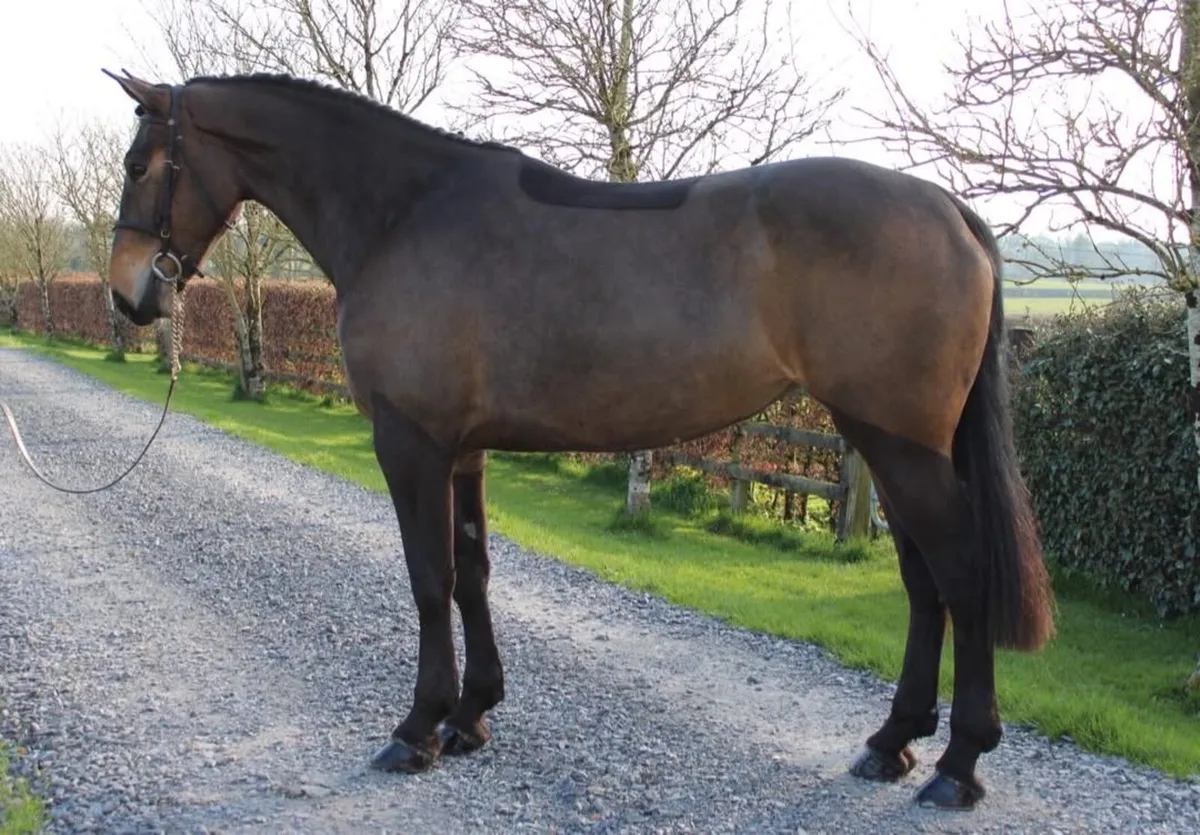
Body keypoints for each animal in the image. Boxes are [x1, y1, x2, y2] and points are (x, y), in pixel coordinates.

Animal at [100, 69, 1054, 811]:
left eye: (140, 164)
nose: (126, 295)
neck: (404, 212)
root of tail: (951, 209)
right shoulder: (462, 449)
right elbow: (473, 570)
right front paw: (473, 713)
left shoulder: (410, 442)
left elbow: (428, 576)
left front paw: (418, 728)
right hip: (882, 439)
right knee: (925, 583)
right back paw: (892, 741)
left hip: (904, 445)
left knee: (960, 576)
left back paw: (960, 764)